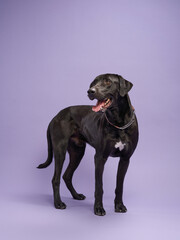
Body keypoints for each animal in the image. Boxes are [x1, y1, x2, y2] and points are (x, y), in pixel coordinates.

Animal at [37, 73, 139, 216]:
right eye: (93, 82)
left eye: (107, 81)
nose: (90, 91)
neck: (118, 123)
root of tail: (56, 116)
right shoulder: (100, 158)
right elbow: (99, 186)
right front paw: (99, 208)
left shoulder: (125, 159)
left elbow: (120, 186)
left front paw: (119, 206)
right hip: (60, 150)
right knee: (55, 179)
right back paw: (58, 203)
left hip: (77, 152)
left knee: (67, 176)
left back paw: (76, 195)